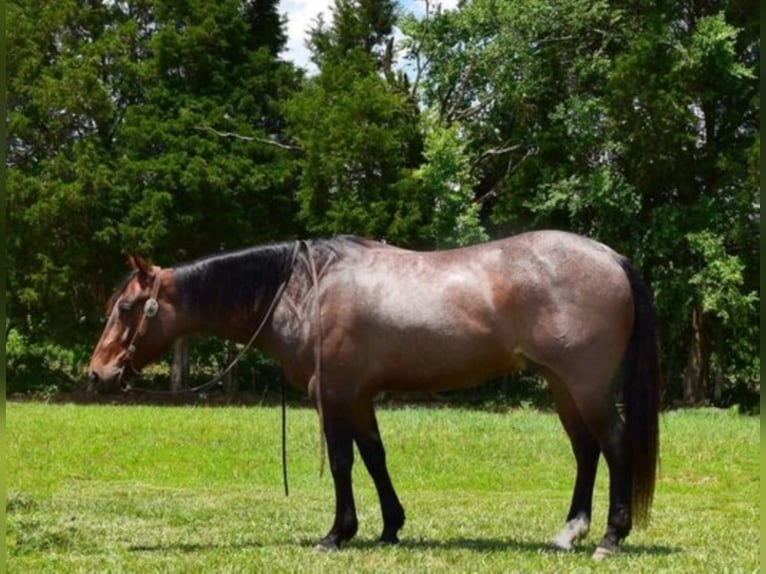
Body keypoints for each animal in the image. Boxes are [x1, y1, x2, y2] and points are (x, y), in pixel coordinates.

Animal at [87, 232, 664, 560]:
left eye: (127, 308)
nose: (97, 374)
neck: (303, 290)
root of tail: (612, 257)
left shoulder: (334, 394)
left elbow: (344, 462)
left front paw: (337, 534)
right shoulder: (360, 396)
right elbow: (374, 458)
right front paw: (390, 527)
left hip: (585, 386)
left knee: (614, 445)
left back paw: (611, 538)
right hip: (561, 385)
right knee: (586, 450)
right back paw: (570, 532)